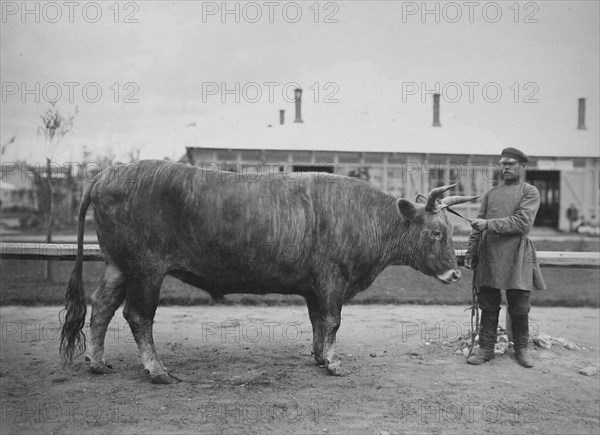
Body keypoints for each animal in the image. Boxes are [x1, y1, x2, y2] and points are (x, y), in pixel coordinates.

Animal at [61, 160, 478, 384]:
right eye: (436, 232)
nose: (456, 275)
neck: (366, 218)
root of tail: (109, 173)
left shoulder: (315, 286)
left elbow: (317, 322)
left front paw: (319, 357)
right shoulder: (332, 279)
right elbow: (332, 321)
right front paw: (334, 363)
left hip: (119, 266)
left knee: (101, 307)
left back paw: (97, 362)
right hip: (146, 270)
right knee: (137, 315)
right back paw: (157, 370)